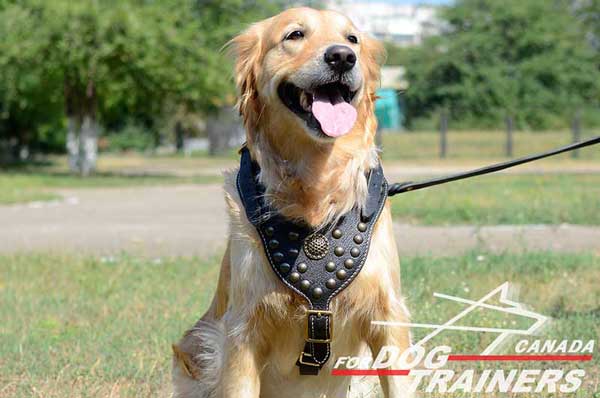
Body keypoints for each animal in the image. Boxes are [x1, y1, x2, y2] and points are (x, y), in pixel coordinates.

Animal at [173, 7, 412, 398]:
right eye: (295, 35)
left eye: (352, 39)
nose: (342, 57)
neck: (317, 183)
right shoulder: (243, 329)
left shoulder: (387, 314)